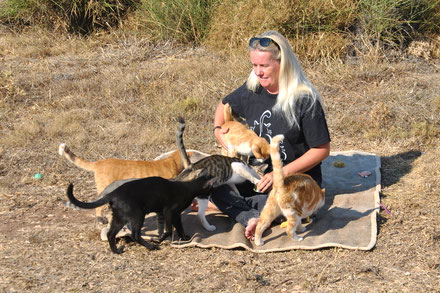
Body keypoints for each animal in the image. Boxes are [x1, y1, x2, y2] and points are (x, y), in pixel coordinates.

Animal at [65, 169, 217, 253]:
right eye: (210, 189)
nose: (211, 195)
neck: (188, 188)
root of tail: (113, 193)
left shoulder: (176, 215)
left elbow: (179, 227)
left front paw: (184, 238)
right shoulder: (169, 211)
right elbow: (168, 230)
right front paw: (160, 239)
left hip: (120, 218)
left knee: (110, 234)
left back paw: (116, 251)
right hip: (138, 215)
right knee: (135, 234)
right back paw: (151, 246)